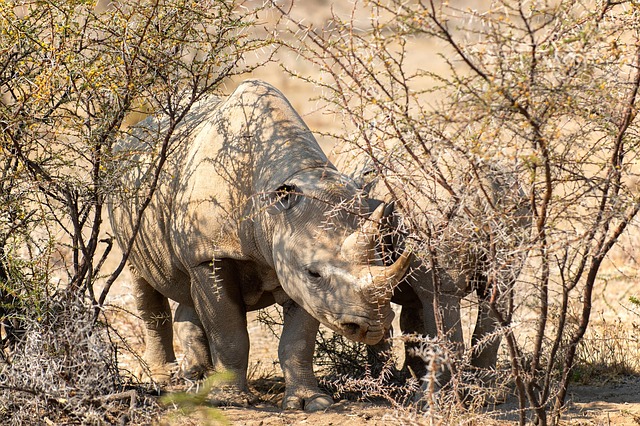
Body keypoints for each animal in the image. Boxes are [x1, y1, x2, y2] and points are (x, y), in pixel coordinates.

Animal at [108, 80, 411, 411]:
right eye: (314, 273)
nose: (371, 327)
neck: (273, 209)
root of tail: (137, 130)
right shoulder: (212, 252)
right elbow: (228, 331)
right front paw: (231, 401)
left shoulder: (294, 264)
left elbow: (298, 341)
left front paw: (312, 402)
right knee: (143, 280)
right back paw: (167, 380)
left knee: (186, 289)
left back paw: (197, 376)